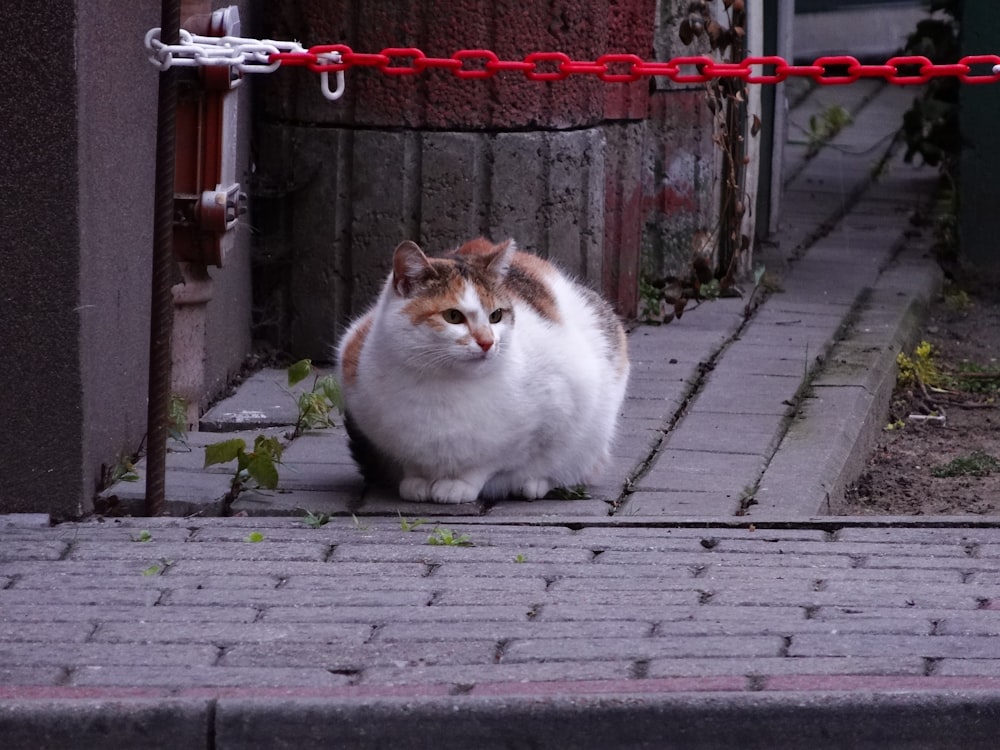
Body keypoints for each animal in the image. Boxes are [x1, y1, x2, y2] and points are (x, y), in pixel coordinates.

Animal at [340, 236, 628, 506]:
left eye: (496, 315)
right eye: (453, 316)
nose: (487, 342)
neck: (441, 383)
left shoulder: (557, 407)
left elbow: (493, 461)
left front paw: (459, 484)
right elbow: (412, 460)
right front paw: (417, 481)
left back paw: (534, 484)